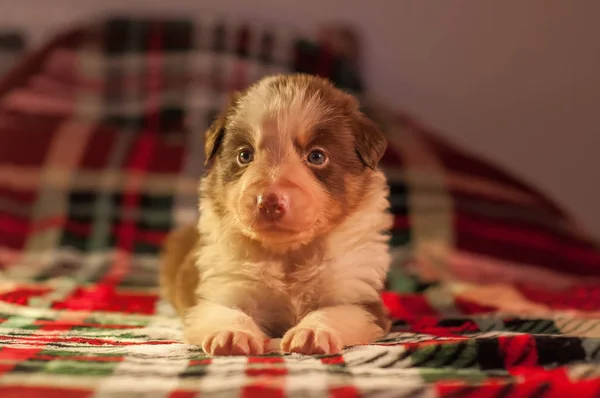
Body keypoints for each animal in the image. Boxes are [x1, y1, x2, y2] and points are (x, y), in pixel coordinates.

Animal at [159, 73, 394, 356]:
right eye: (244, 155)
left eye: (317, 156)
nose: (268, 202)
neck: (287, 256)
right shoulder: (219, 290)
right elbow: (227, 312)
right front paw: (232, 335)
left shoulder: (360, 297)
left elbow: (334, 312)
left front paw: (311, 333)